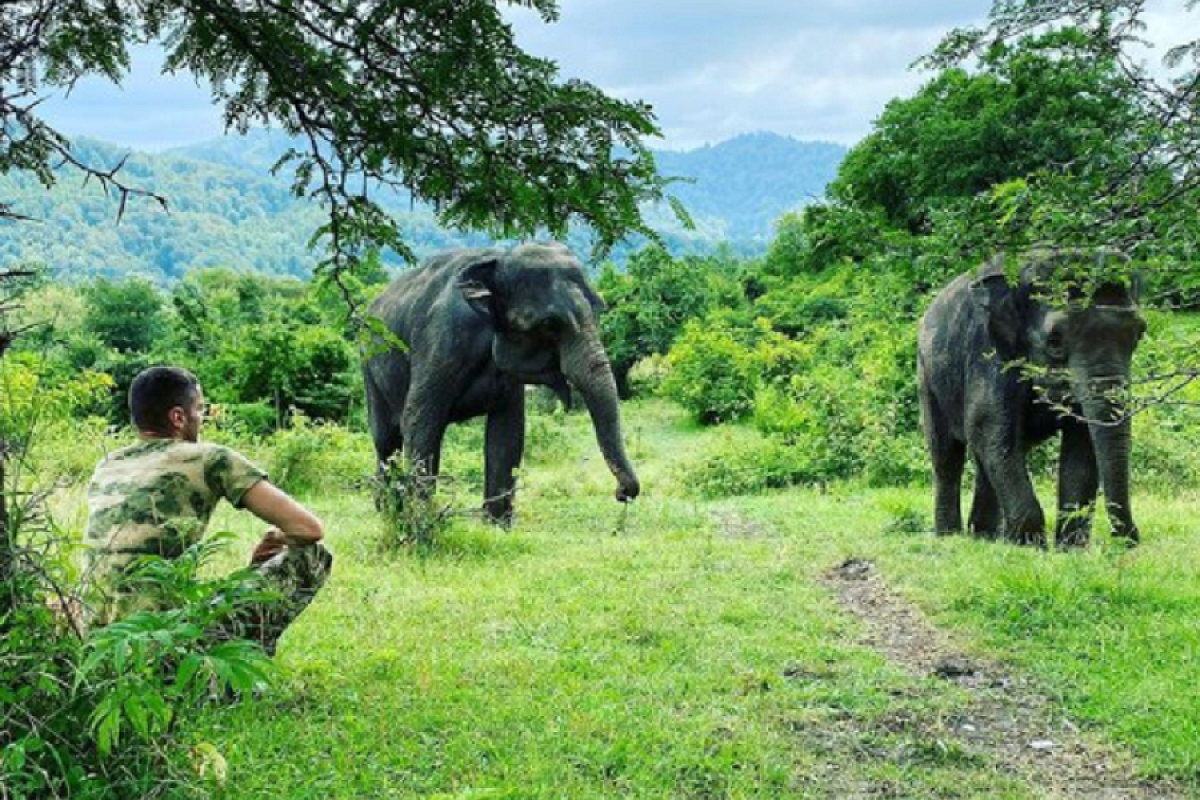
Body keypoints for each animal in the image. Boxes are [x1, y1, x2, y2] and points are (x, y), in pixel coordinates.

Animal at [362, 241, 638, 522]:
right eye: (549, 324)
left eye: (599, 309)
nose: (622, 493)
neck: (498, 259)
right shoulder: (441, 341)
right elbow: (419, 421)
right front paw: (419, 520)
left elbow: (507, 433)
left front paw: (495, 525)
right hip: (368, 364)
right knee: (387, 439)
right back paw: (387, 510)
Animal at [916, 250, 1142, 551]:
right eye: (1055, 342)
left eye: (1139, 334)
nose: (1128, 539)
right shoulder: (988, 353)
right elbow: (987, 427)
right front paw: (1030, 546)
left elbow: (1081, 443)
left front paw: (1070, 550)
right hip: (927, 377)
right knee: (947, 457)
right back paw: (950, 536)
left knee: (986, 460)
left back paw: (984, 537)